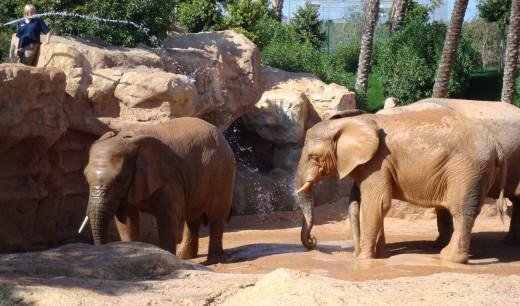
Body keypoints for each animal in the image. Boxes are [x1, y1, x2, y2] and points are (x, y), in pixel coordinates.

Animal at [78, 117, 236, 262]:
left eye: (119, 179)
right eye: (85, 177)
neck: (127, 139)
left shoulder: (169, 179)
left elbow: (168, 217)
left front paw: (168, 258)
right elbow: (126, 220)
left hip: (223, 173)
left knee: (216, 216)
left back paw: (214, 260)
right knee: (192, 218)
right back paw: (185, 257)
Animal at [294, 107, 506, 262]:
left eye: (314, 157)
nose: (314, 241)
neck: (350, 122)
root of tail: (497, 146)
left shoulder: (378, 162)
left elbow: (377, 202)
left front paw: (364, 260)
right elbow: (377, 205)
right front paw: (381, 256)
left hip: (467, 170)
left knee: (461, 211)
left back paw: (449, 258)